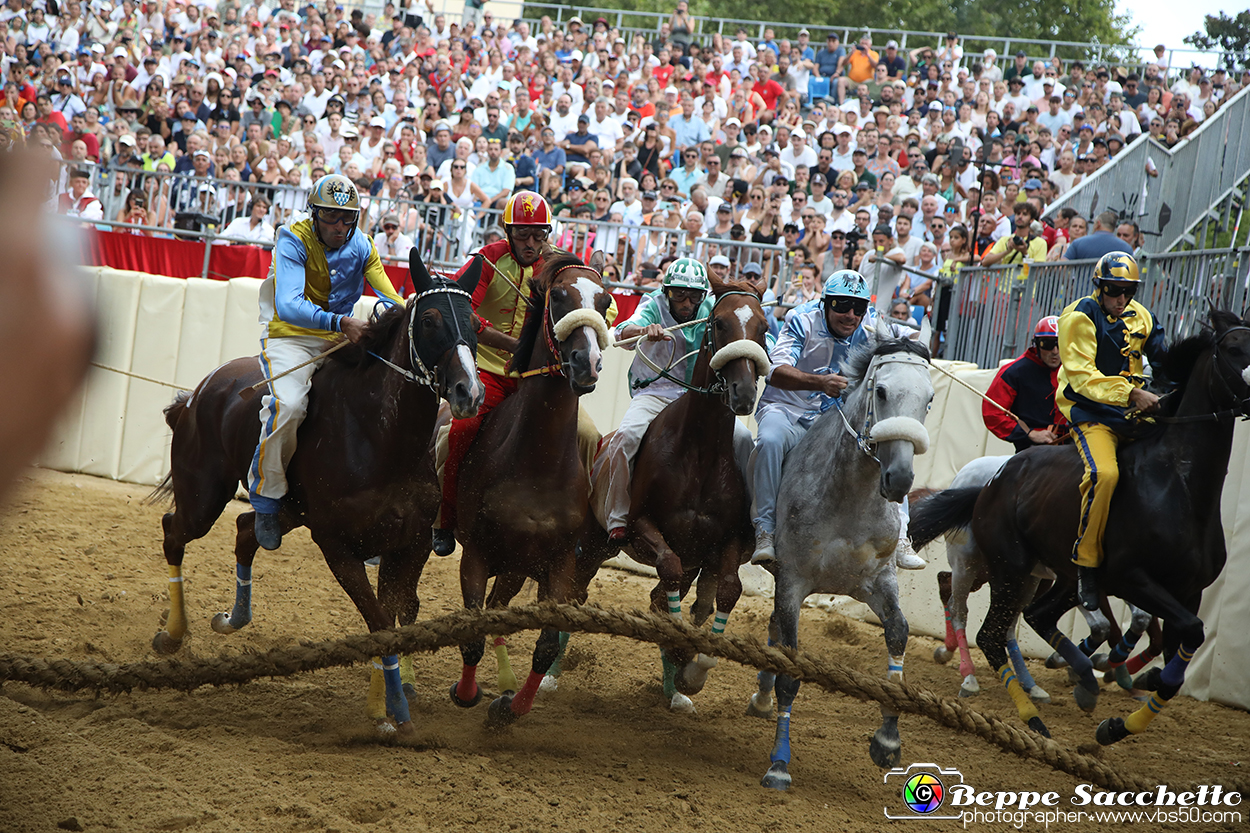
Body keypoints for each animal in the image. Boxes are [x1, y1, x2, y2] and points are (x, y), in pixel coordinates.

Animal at [150, 250, 482, 730]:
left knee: (247, 529)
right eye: (431, 319)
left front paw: (387, 702)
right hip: (202, 496)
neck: (381, 440)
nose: (468, 391)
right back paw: (173, 636)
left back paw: (232, 617)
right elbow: (380, 622)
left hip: (286, 511)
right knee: (174, 531)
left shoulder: (411, 543)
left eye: (476, 323)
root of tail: (199, 392)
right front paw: (392, 712)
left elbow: (397, 613)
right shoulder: (337, 545)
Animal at [447, 247, 612, 725]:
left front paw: (512, 706)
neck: (536, 464)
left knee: (499, 610)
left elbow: (545, 646)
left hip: (518, 567)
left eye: (606, 300)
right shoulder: (476, 554)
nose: (587, 363)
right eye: (558, 296)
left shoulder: (559, 564)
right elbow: (472, 635)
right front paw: (467, 692)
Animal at [577, 277, 770, 705]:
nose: (743, 392)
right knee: (576, 591)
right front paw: (680, 647)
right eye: (718, 322)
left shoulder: (724, 540)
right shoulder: (641, 525)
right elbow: (668, 567)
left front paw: (693, 668)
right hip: (593, 543)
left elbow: (727, 590)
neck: (698, 453)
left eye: (764, 326)